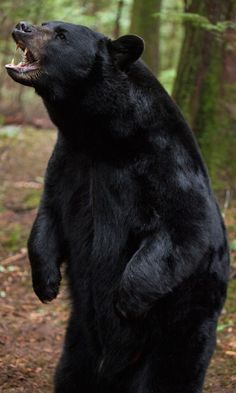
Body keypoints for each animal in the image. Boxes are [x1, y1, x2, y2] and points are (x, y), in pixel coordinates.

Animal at [6, 21, 229, 392]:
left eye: (61, 35)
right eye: (45, 25)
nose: (22, 26)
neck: (104, 137)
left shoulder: (167, 162)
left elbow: (187, 226)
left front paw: (126, 299)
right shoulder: (69, 160)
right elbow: (49, 214)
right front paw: (46, 283)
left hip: (183, 329)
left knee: (171, 374)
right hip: (79, 338)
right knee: (72, 373)